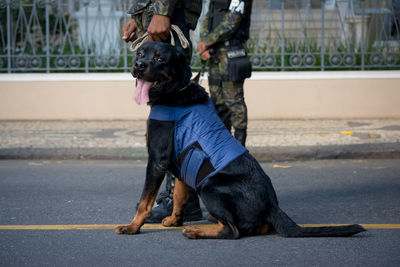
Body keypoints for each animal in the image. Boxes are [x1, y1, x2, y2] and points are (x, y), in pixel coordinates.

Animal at [115, 43, 366, 240]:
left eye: (159, 59)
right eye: (140, 53)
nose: (138, 65)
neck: (177, 90)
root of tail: (271, 205)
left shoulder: (157, 160)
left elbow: (144, 202)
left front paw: (132, 227)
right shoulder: (183, 162)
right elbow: (179, 195)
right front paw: (174, 220)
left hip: (209, 186)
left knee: (232, 230)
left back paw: (196, 231)